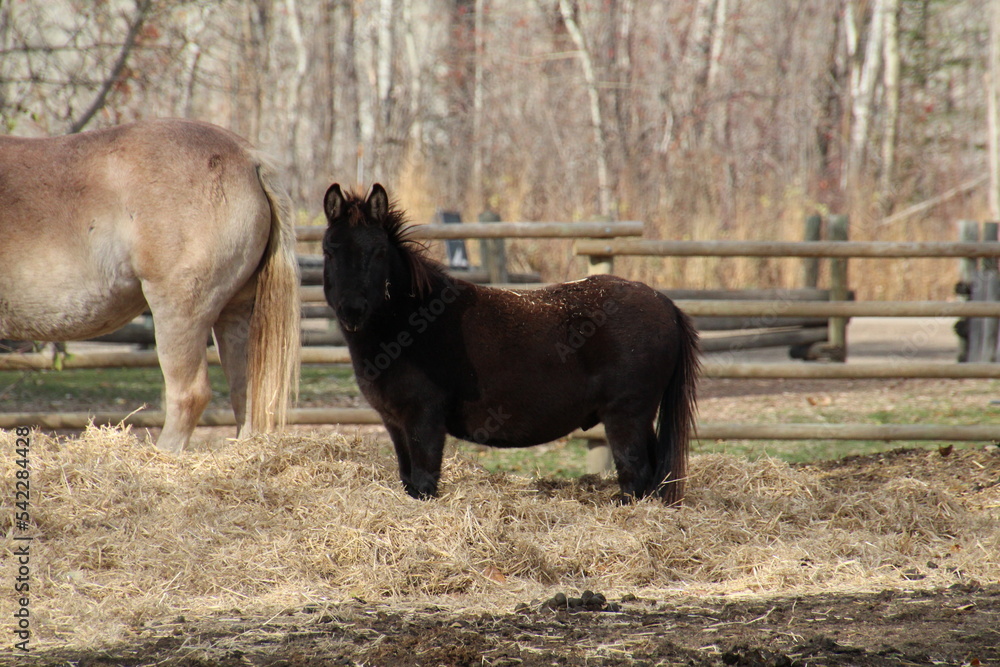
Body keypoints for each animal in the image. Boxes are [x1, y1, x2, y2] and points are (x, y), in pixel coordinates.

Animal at [321, 183, 699, 504]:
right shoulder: (395, 423)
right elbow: (408, 480)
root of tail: (665, 303)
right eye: (329, 250)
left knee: (636, 477)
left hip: (627, 416)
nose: (352, 311)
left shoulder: (423, 419)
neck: (408, 325)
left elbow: (425, 482)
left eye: (378, 252)